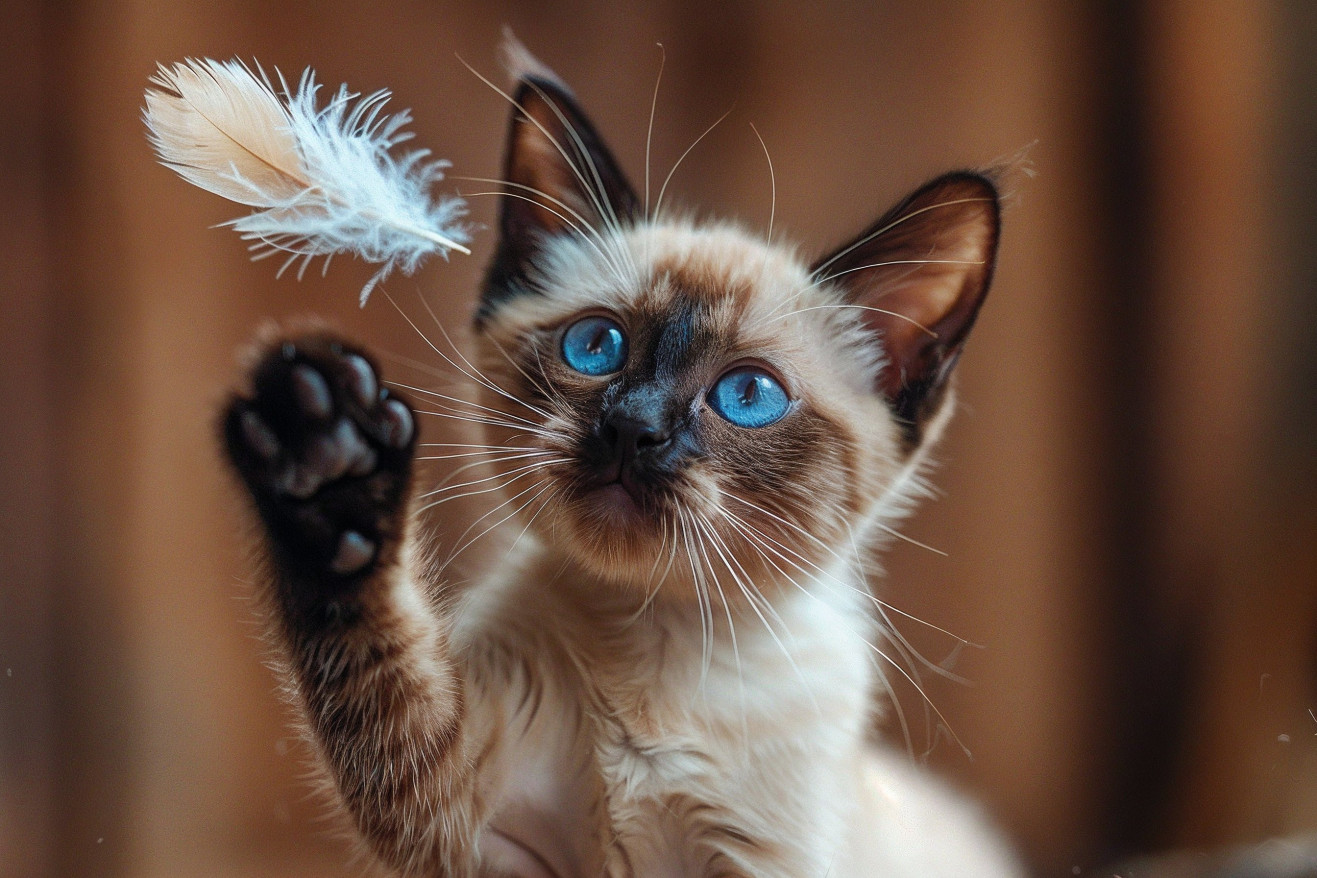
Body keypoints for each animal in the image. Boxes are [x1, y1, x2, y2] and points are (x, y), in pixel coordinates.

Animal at [221, 48, 1021, 878]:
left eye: (748, 394)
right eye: (595, 346)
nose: (634, 429)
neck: (656, 636)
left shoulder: (759, 863)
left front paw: (331, 463)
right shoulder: (474, 825)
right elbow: (379, 674)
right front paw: (328, 471)